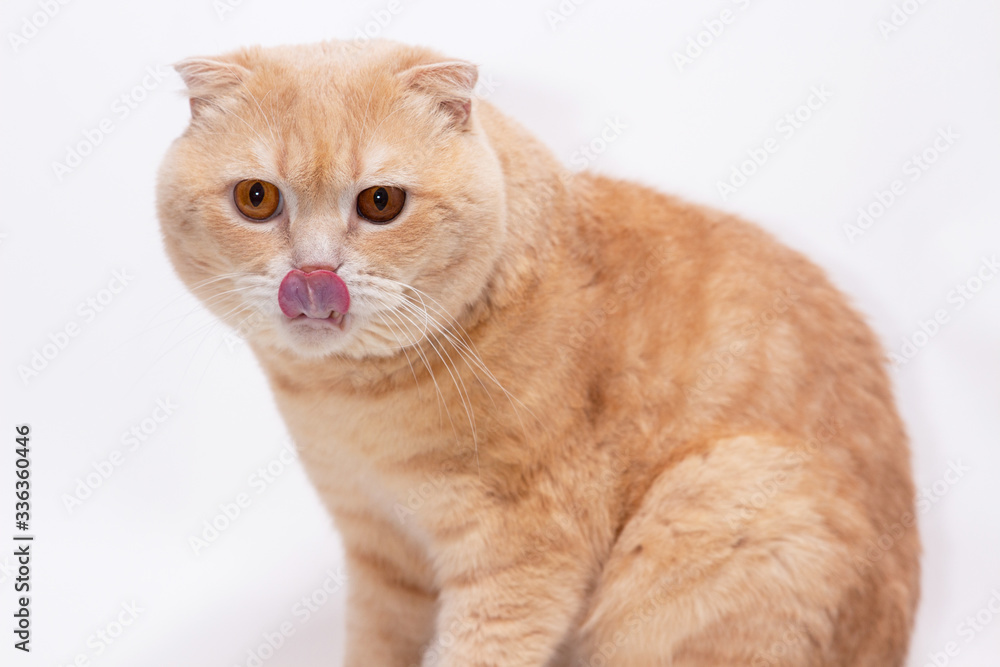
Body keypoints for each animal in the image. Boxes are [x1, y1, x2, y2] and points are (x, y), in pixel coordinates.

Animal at [158, 39, 920, 664]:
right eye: (257, 198)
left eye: (380, 203)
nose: (313, 274)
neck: (352, 408)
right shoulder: (382, 556)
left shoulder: (521, 560)